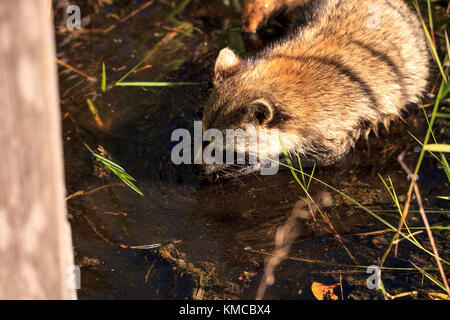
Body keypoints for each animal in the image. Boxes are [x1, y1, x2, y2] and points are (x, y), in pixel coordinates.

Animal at [202, 0, 430, 175]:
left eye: (222, 151)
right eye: (203, 138)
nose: (198, 170)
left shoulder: (334, 121)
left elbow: (330, 155)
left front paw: (265, 163)